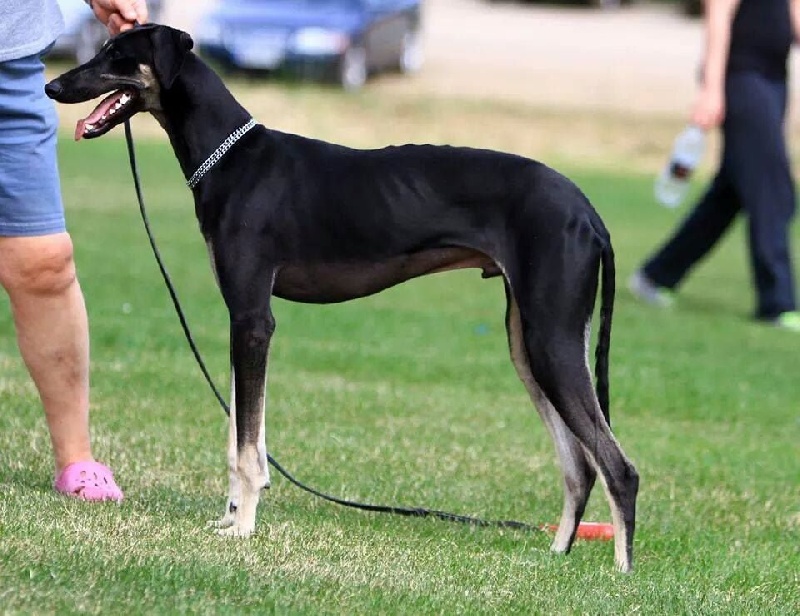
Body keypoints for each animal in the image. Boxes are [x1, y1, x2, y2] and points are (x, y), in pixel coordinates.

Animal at [48, 24, 636, 572]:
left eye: (115, 55)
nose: (53, 85)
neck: (233, 160)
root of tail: (589, 210)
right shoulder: (241, 320)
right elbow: (240, 433)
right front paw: (231, 518)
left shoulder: (254, 319)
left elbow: (247, 445)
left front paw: (244, 529)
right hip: (527, 344)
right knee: (579, 466)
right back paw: (556, 554)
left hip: (551, 339)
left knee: (618, 468)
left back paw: (621, 573)